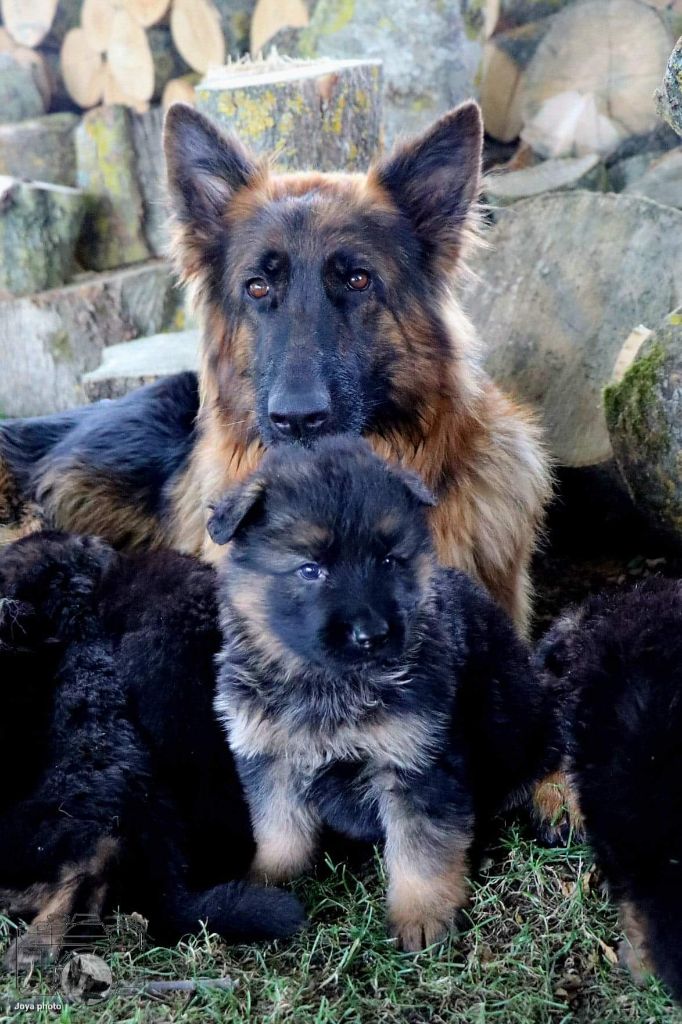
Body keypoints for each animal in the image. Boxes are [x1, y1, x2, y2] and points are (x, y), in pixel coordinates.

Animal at [209, 434, 557, 950]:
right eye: (310, 570)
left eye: (390, 561)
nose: (371, 634)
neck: (328, 684)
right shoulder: (271, 759)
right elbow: (278, 830)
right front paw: (267, 884)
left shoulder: (417, 763)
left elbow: (419, 849)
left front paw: (422, 916)